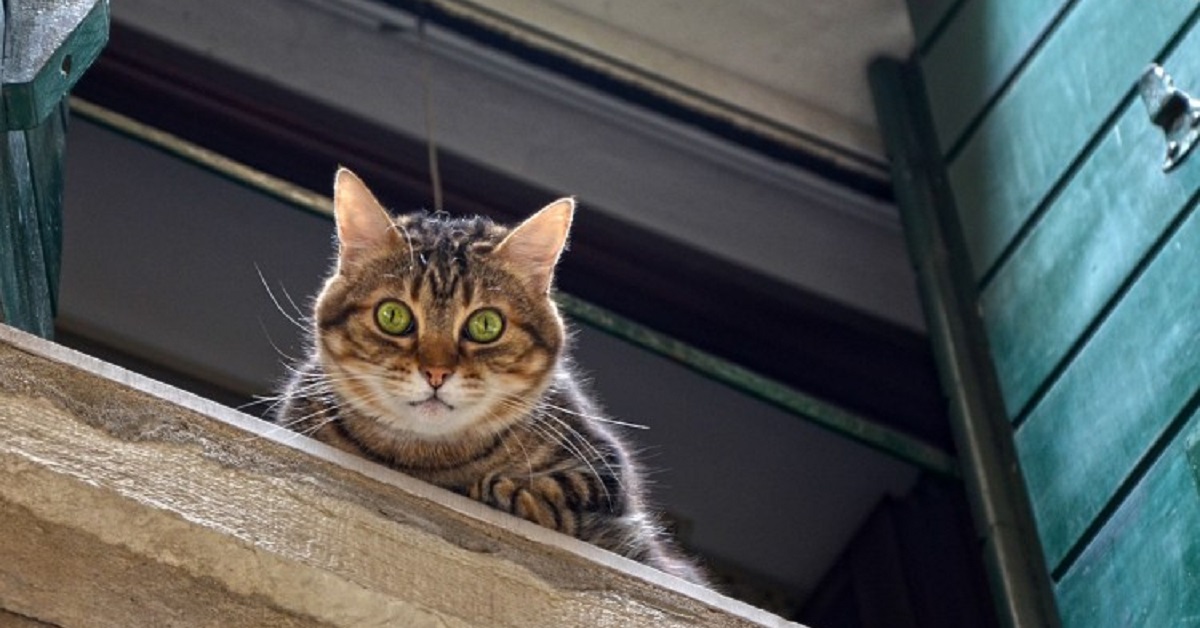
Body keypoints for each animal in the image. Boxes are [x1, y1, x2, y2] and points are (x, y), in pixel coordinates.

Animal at [272, 166, 700, 585]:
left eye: (486, 325)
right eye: (392, 316)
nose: (437, 372)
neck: (427, 465)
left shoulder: (605, 464)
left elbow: (564, 488)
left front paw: (512, 493)